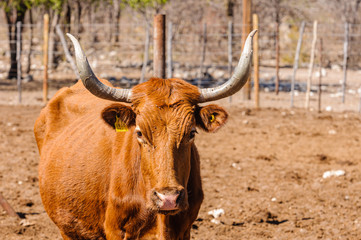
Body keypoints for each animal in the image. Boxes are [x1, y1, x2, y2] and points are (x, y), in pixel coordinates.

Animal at [33, 30, 253, 240]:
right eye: (139, 132)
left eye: (191, 132)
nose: (168, 198)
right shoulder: (115, 230)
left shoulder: (184, 230)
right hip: (67, 229)